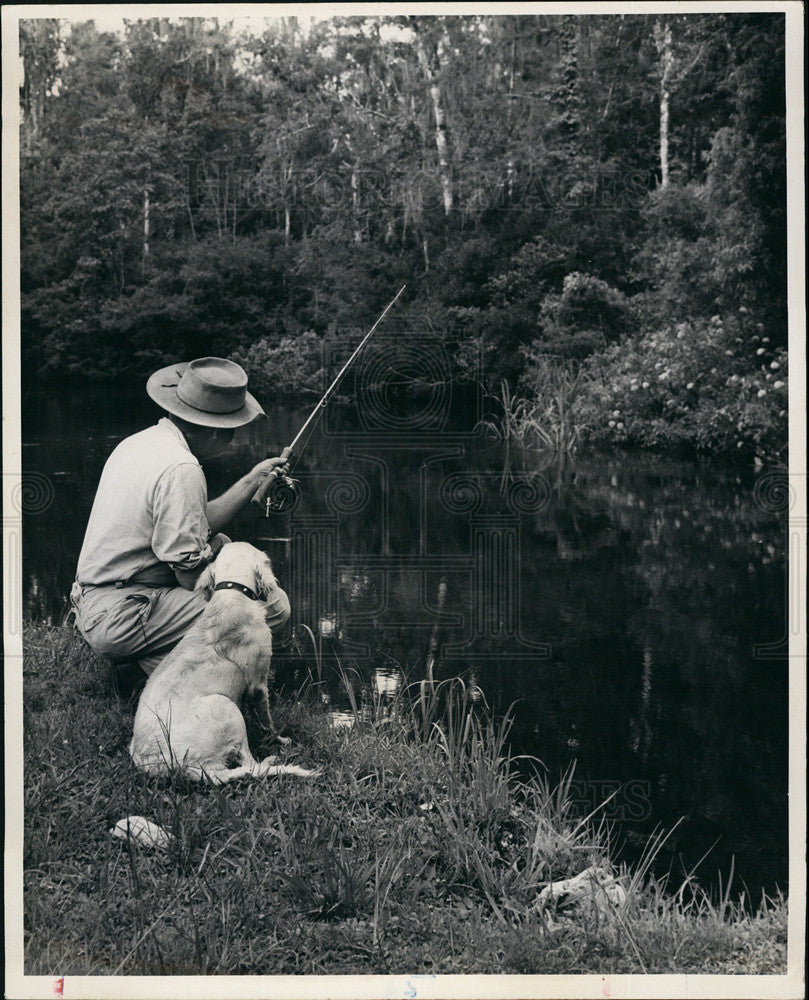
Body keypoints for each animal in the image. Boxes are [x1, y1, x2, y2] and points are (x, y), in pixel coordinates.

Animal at [128, 544, 318, 784]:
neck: (232, 594)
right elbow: (268, 721)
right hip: (226, 707)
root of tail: (180, 766)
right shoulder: (258, 684)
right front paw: (281, 739)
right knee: (249, 763)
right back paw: (268, 761)